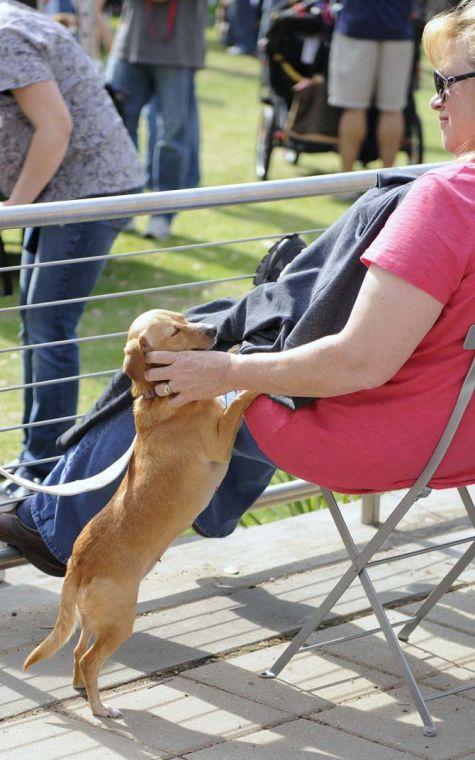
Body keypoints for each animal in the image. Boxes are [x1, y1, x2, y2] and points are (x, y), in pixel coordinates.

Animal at [23, 308, 258, 720]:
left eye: (185, 318)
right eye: (175, 331)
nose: (214, 328)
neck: (160, 396)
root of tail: (77, 565)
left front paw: (233, 353)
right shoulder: (220, 442)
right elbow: (237, 402)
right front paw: (252, 380)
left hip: (92, 621)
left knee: (77, 653)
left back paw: (82, 690)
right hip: (119, 622)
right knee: (89, 660)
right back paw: (101, 709)